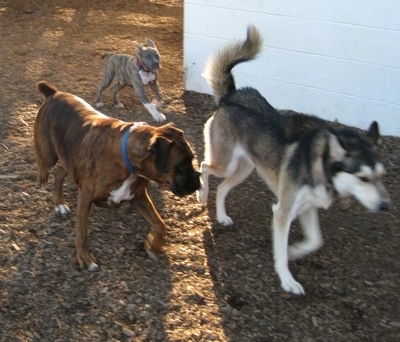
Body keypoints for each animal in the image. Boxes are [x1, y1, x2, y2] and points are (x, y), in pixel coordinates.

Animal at [34, 81, 200, 272]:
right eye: (181, 165)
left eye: (192, 159)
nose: (198, 178)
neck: (126, 160)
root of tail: (54, 93)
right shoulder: (85, 198)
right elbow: (81, 232)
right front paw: (85, 258)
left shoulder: (138, 197)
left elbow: (159, 224)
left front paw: (153, 246)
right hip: (50, 153)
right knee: (43, 160)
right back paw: (42, 177)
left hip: (70, 159)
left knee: (60, 173)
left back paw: (59, 204)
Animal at [197, 25, 390, 296]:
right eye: (363, 178)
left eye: (381, 176)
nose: (385, 206)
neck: (319, 163)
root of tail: (231, 96)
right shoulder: (283, 211)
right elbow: (280, 252)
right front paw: (287, 279)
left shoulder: (307, 208)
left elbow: (315, 241)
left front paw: (295, 251)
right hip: (225, 164)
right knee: (204, 167)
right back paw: (201, 194)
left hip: (244, 169)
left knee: (223, 189)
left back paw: (222, 217)